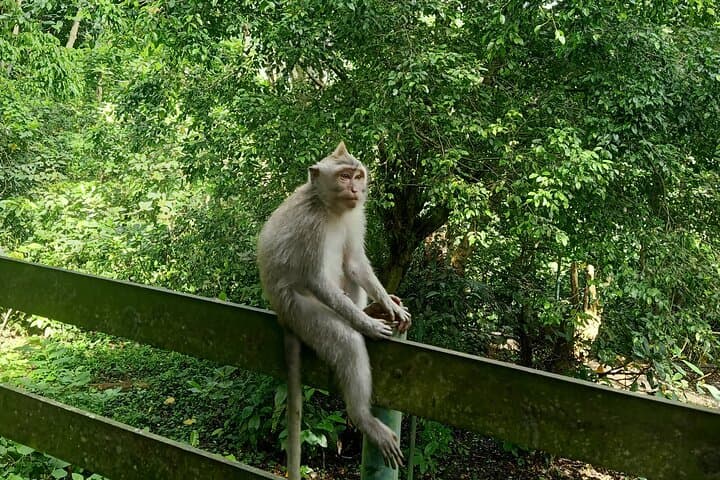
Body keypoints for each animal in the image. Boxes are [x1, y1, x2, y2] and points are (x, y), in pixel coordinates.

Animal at [257, 141, 411, 478]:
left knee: (348, 270)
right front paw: (367, 325)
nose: (355, 188)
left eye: (357, 175)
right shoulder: (311, 225)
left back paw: (372, 310)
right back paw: (363, 416)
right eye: (343, 176)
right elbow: (315, 279)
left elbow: (354, 262)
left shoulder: (355, 215)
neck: (330, 208)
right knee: (347, 343)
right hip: (302, 313)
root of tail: (282, 314)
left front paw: (387, 307)